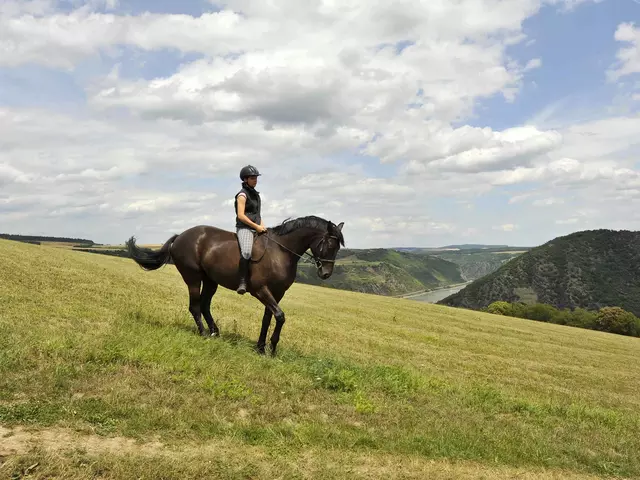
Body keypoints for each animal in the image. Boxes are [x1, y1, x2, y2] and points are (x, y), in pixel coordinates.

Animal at [126, 216, 344, 354]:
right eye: (329, 244)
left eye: (337, 247)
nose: (325, 274)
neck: (280, 252)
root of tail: (179, 236)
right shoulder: (261, 290)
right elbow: (280, 317)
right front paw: (272, 349)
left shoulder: (277, 293)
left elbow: (268, 319)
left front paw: (261, 348)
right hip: (193, 278)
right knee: (195, 306)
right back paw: (204, 334)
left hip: (211, 281)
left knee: (204, 305)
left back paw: (215, 332)